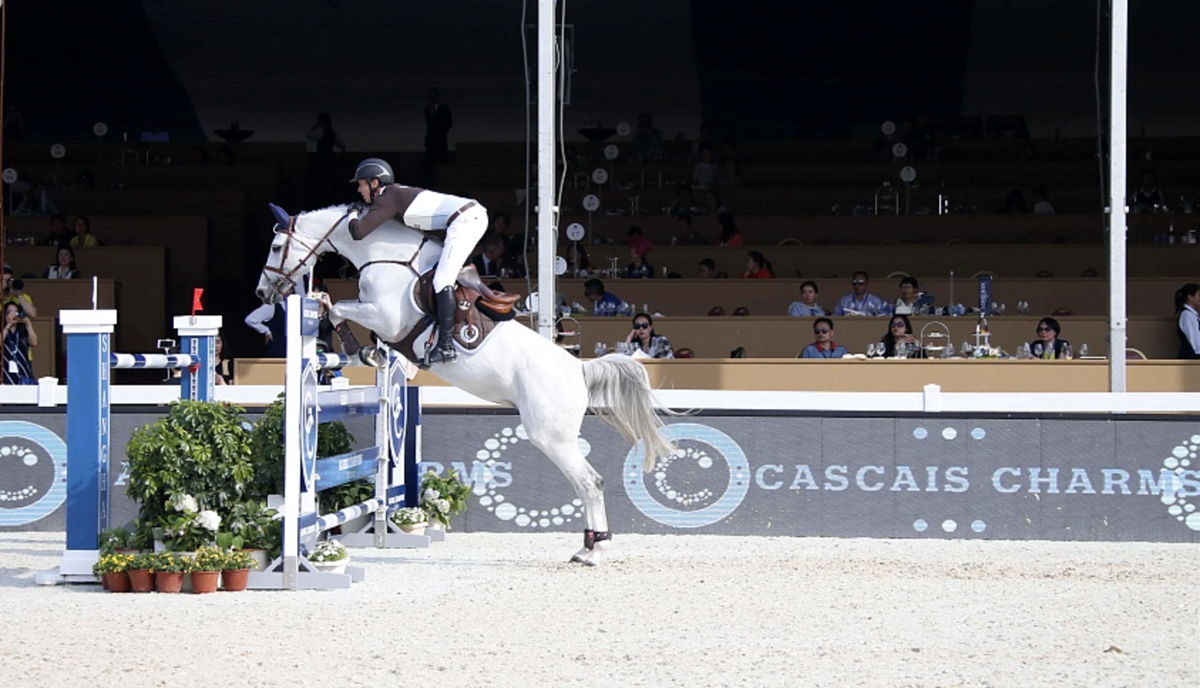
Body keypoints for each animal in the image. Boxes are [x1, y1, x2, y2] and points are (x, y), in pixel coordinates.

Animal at [255, 202, 676, 564]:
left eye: (276, 246)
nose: (262, 292)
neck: (384, 254)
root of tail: (579, 370)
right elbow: (344, 313)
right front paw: (365, 348)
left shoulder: (386, 317)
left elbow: (341, 309)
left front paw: (359, 346)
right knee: (587, 484)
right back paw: (586, 546)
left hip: (550, 437)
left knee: (590, 483)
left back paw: (595, 550)